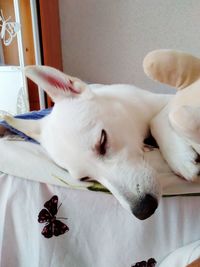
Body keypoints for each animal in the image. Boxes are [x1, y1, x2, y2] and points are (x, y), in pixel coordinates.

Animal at [4, 49, 200, 220]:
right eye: (84, 178)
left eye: (102, 142)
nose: (143, 210)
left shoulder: (164, 102)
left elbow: (161, 119)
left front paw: (182, 160)